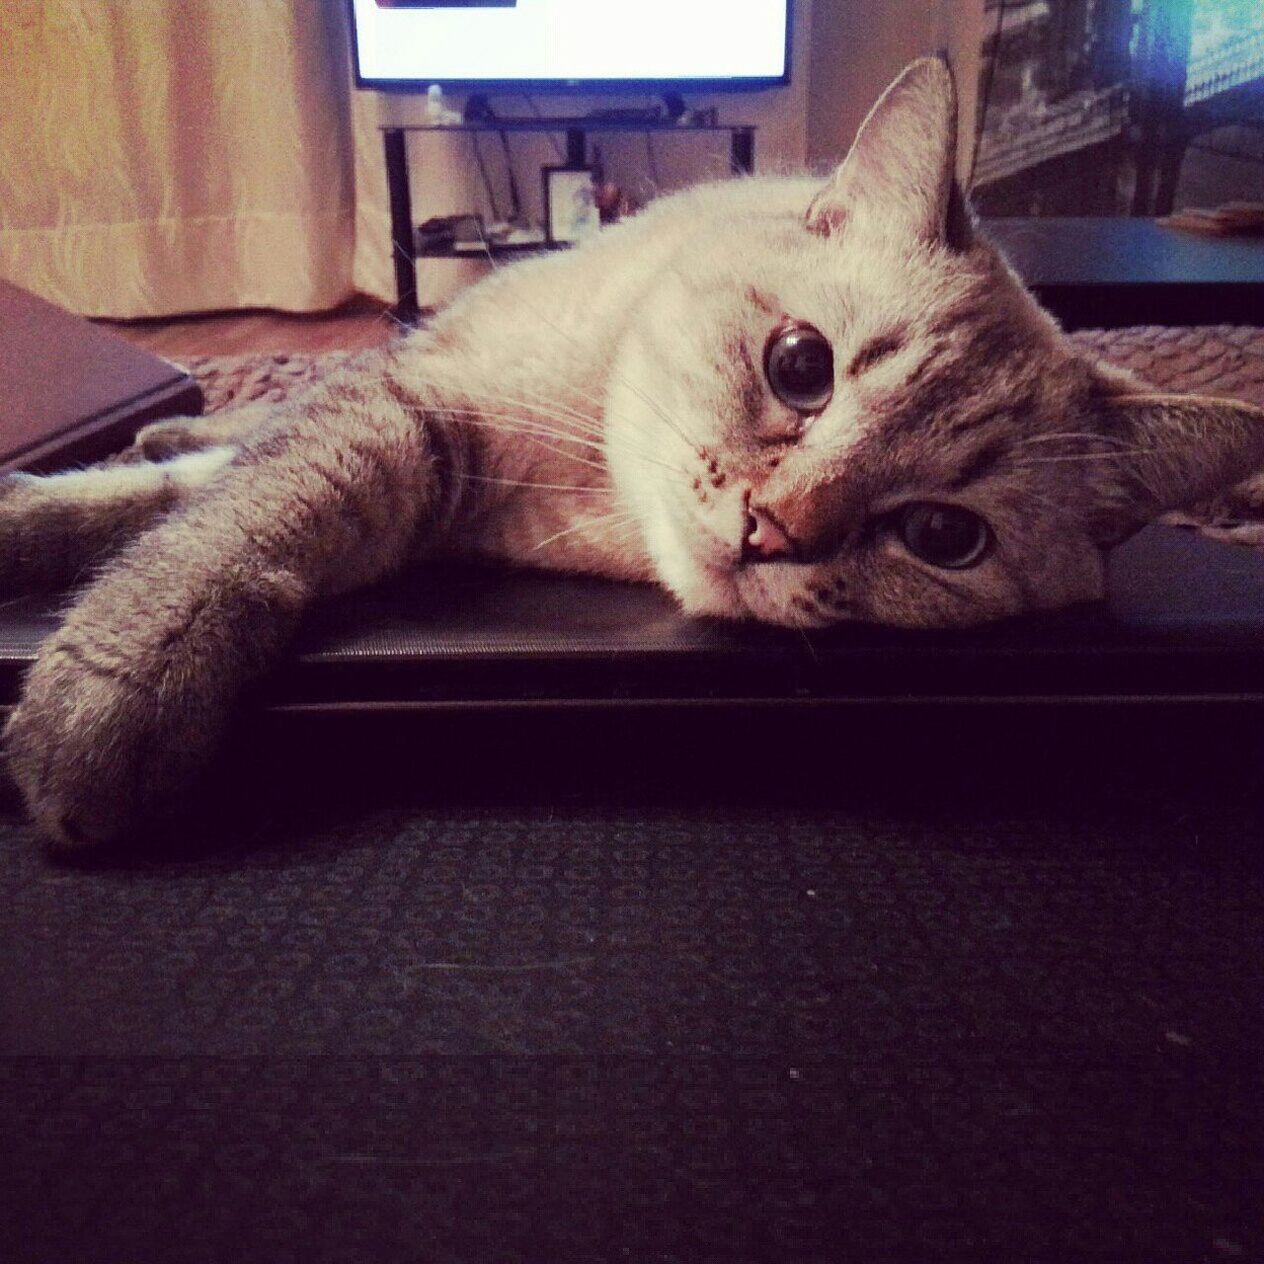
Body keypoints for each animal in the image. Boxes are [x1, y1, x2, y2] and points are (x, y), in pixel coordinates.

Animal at [2, 59, 1264, 849]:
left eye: (943, 536)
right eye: (800, 366)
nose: (774, 530)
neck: (578, 497)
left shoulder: (412, 478)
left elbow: (189, 515)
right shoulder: (409, 411)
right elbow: (202, 525)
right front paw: (100, 679)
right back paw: (173, 420)